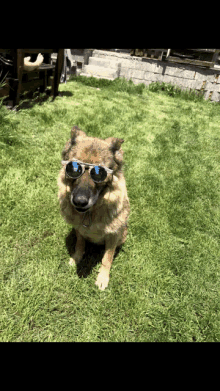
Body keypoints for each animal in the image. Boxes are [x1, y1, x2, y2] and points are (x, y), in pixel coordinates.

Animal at [57, 125, 130, 290]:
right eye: (73, 168)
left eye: (99, 173)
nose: (79, 202)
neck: (90, 213)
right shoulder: (79, 230)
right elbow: (79, 245)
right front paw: (75, 259)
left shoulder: (113, 236)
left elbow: (107, 258)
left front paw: (103, 278)